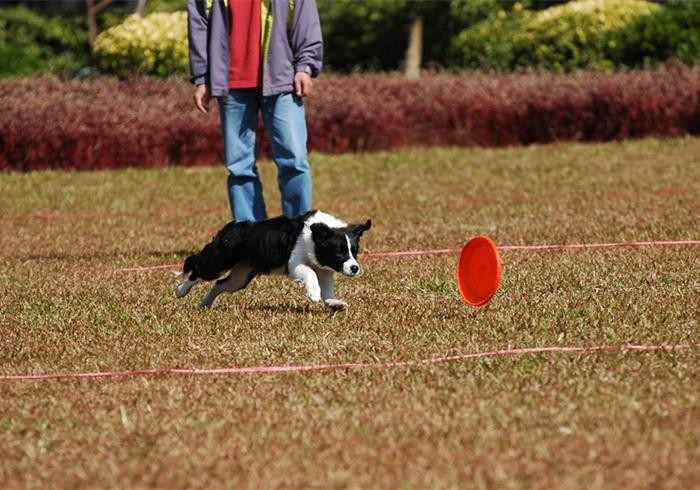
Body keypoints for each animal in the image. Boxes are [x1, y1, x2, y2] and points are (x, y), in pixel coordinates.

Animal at [175, 211, 372, 310]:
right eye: (339, 252)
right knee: (197, 272)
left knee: (219, 284)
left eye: (354, 251)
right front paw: (313, 294)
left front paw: (335, 304)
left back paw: (205, 304)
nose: (354, 268)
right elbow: (310, 274)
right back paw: (180, 291)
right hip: (219, 262)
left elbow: (328, 290)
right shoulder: (295, 263)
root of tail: (226, 231)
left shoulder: (324, 270)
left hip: (241, 276)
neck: (316, 236)